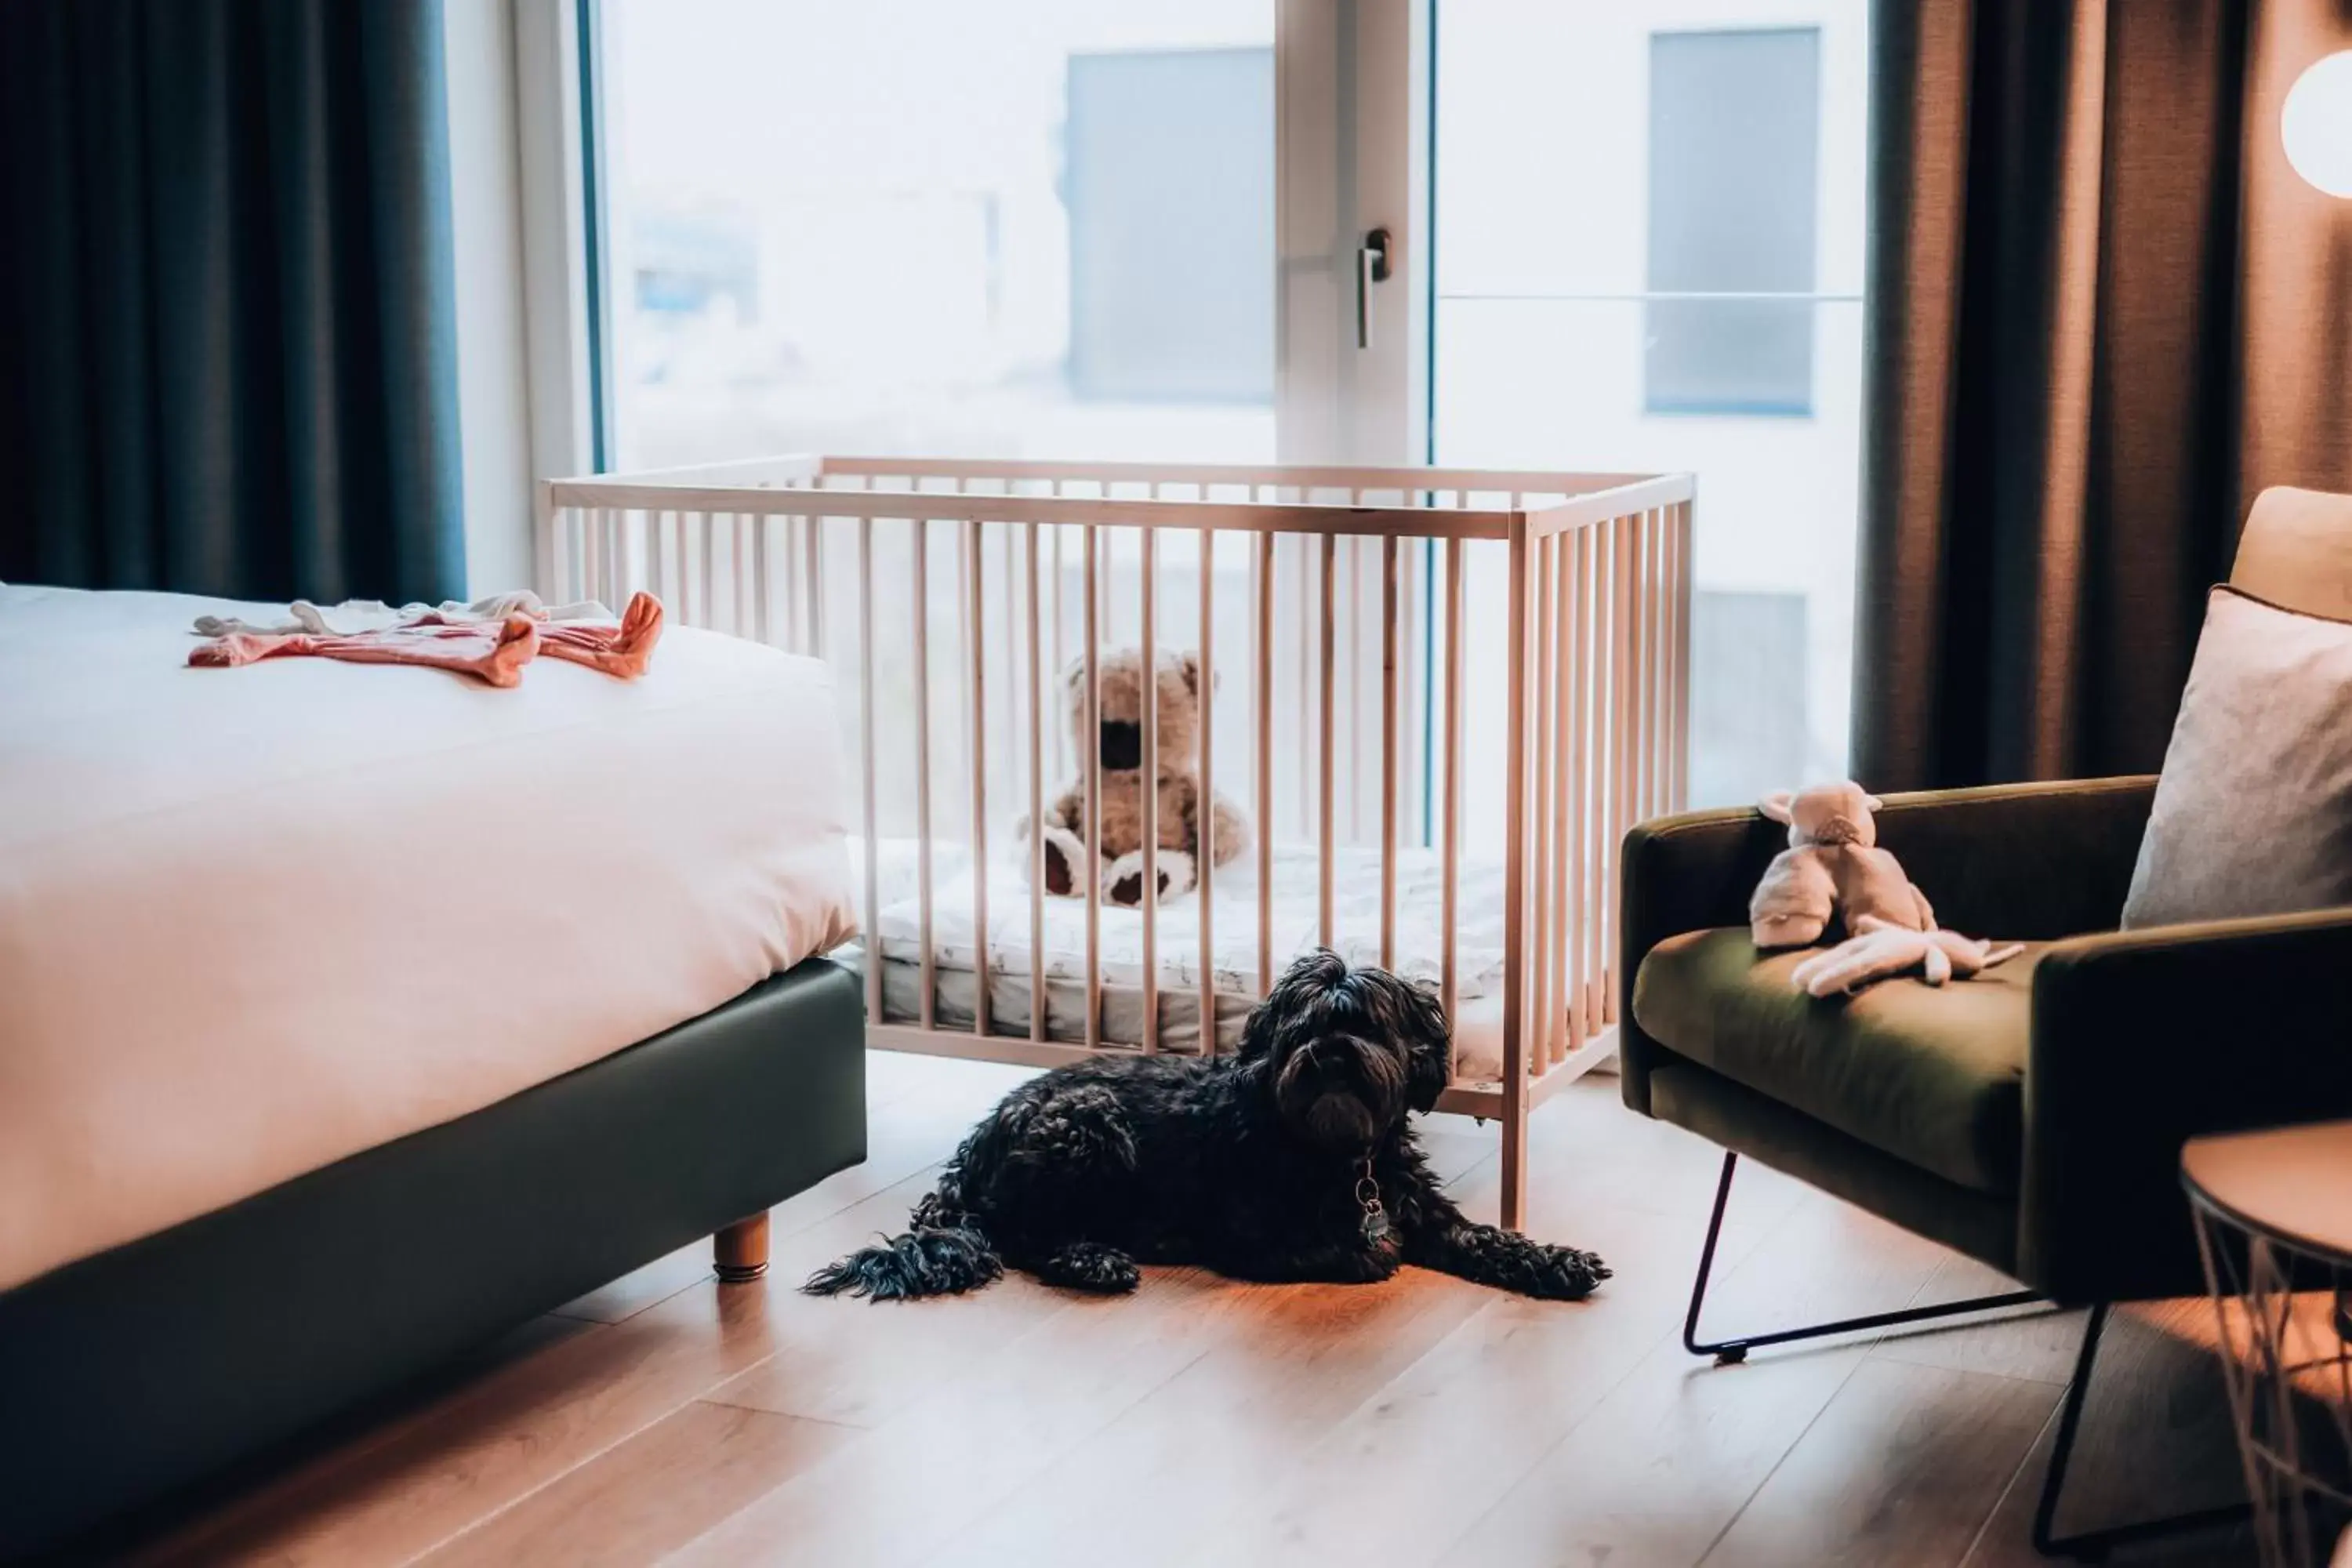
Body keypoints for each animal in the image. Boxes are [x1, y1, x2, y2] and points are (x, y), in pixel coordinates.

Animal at [814, 949, 1618, 1307]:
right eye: (1303, 1025)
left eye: (1366, 1023)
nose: (1330, 1054)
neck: (1336, 1155)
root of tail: (973, 1151)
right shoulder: (1247, 1230)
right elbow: (1340, 1248)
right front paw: (1368, 1251)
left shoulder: (1429, 1211)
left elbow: (1490, 1239)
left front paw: (1554, 1260)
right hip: (1086, 1124)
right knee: (1026, 1234)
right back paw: (1095, 1259)